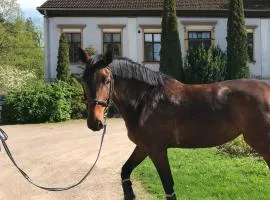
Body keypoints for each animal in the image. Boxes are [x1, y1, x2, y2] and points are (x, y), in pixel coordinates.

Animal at [79, 48, 270, 200]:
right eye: (84, 80)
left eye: (106, 80)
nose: (94, 122)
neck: (145, 101)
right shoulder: (143, 147)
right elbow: (125, 170)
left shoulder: (157, 150)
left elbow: (168, 186)